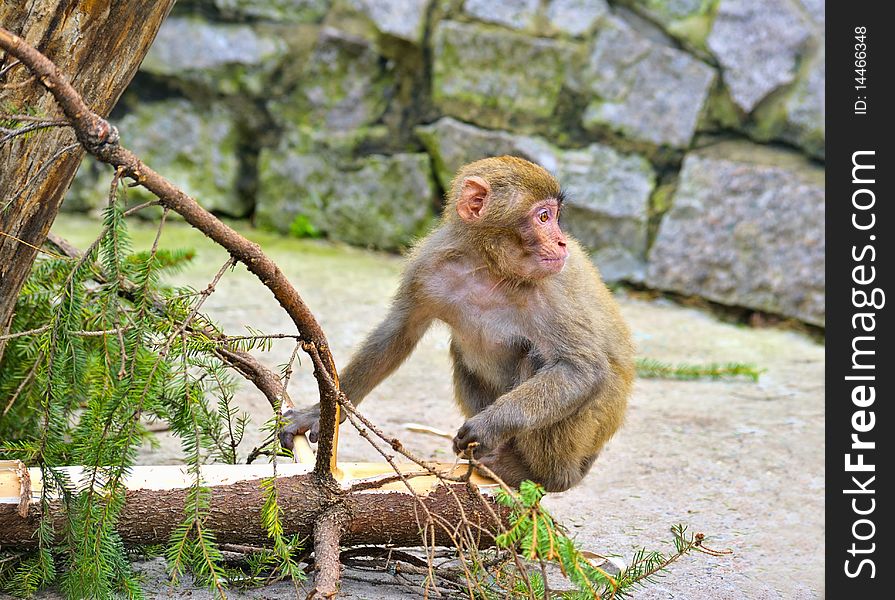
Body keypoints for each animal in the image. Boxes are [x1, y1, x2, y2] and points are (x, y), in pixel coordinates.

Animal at [282, 155, 636, 492]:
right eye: (544, 217)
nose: (562, 243)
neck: (487, 267)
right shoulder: (426, 267)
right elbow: (398, 334)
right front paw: (320, 411)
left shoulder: (552, 288)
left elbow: (581, 369)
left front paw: (489, 426)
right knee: (463, 352)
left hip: (588, 433)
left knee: (538, 358)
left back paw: (538, 474)